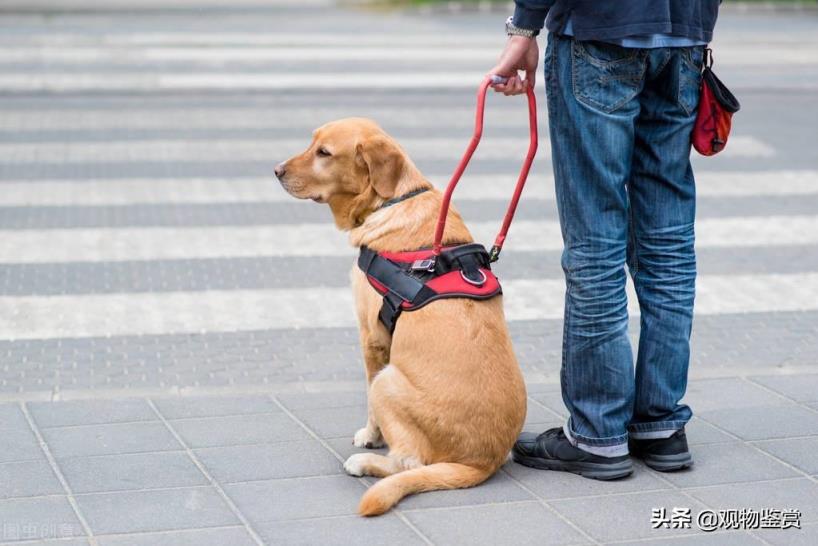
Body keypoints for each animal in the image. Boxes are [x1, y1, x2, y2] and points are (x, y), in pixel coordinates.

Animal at [274, 118, 524, 516]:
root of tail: (481, 463)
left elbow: (371, 411)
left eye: (324, 153)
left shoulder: (372, 338)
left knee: (409, 462)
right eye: (312, 143)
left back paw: (365, 464)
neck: (391, 200)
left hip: (387, 381)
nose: (277, 171)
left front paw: (370, 438)